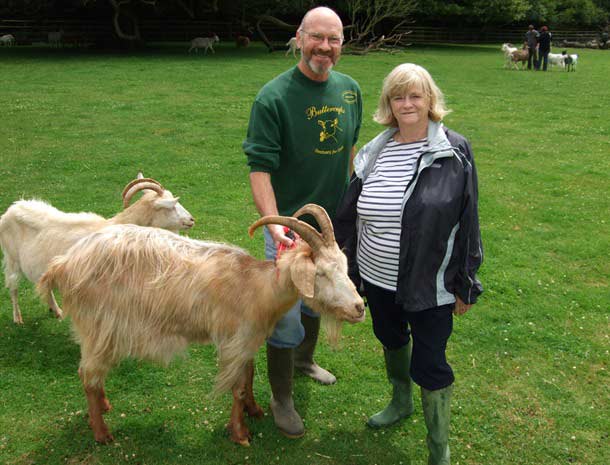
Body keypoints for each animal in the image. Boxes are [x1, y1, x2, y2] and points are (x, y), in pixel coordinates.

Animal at [0, 173, 194, 322]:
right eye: (172, 206)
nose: (191, 219)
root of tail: (12, 208)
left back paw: (57, 311)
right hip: (11, 258)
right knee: (13, 287)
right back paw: (18, 318)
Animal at [38, 203, 366, 446]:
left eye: (344, 266)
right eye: (320, 273)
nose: (360, 308)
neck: (255, 287)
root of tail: (62, 264)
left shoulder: (248, 339)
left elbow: (249, 375)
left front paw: (255, 410)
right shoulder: (234, 340)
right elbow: (237, 387)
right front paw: (240, 433)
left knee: (92, 373)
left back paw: (103, 406)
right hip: (98, 324)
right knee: (88, 374)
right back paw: (102, 433)